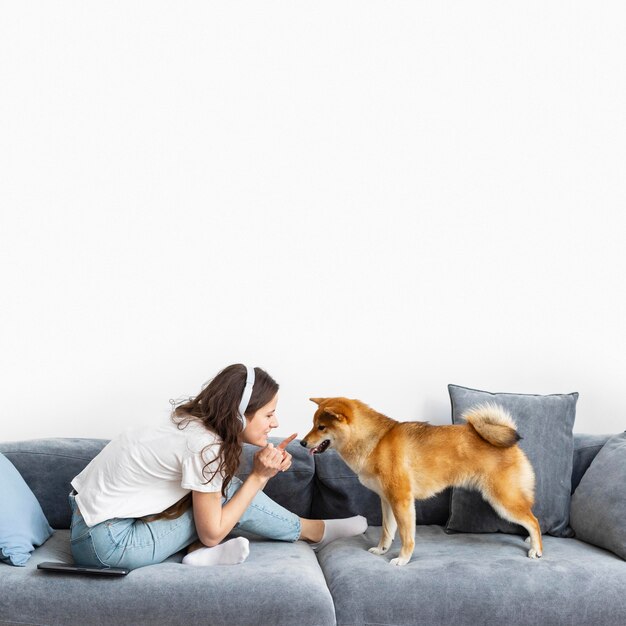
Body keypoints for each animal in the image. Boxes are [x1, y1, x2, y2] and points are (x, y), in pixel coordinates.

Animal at [300, 398, 540, 564]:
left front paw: (403, 559)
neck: (376, 442)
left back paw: (536, 549)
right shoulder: (387, 501)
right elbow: (387, 531)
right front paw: (382, 550)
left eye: (321, 427)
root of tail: (511, 445)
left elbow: (406, 536)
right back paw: (530, 541)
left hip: (503, 500)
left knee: (534, 521)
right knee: (530, 519)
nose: (302, 443)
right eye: (312, 424)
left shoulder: (402, 501)